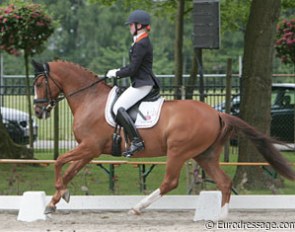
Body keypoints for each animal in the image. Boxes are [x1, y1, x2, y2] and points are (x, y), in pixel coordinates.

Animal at [33, 60, 295, 218]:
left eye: (39, 83)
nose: (37, 111)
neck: (89, 99)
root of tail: (217, 113)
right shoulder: (90, 150)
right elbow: (69, 170)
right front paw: (54, 201)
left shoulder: (90, 147)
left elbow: (59, 162)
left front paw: (58, 195)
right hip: (205, 155)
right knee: (224, 182)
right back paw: (220, 218)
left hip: (178, 151)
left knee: (170, 182)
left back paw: (137, 208)